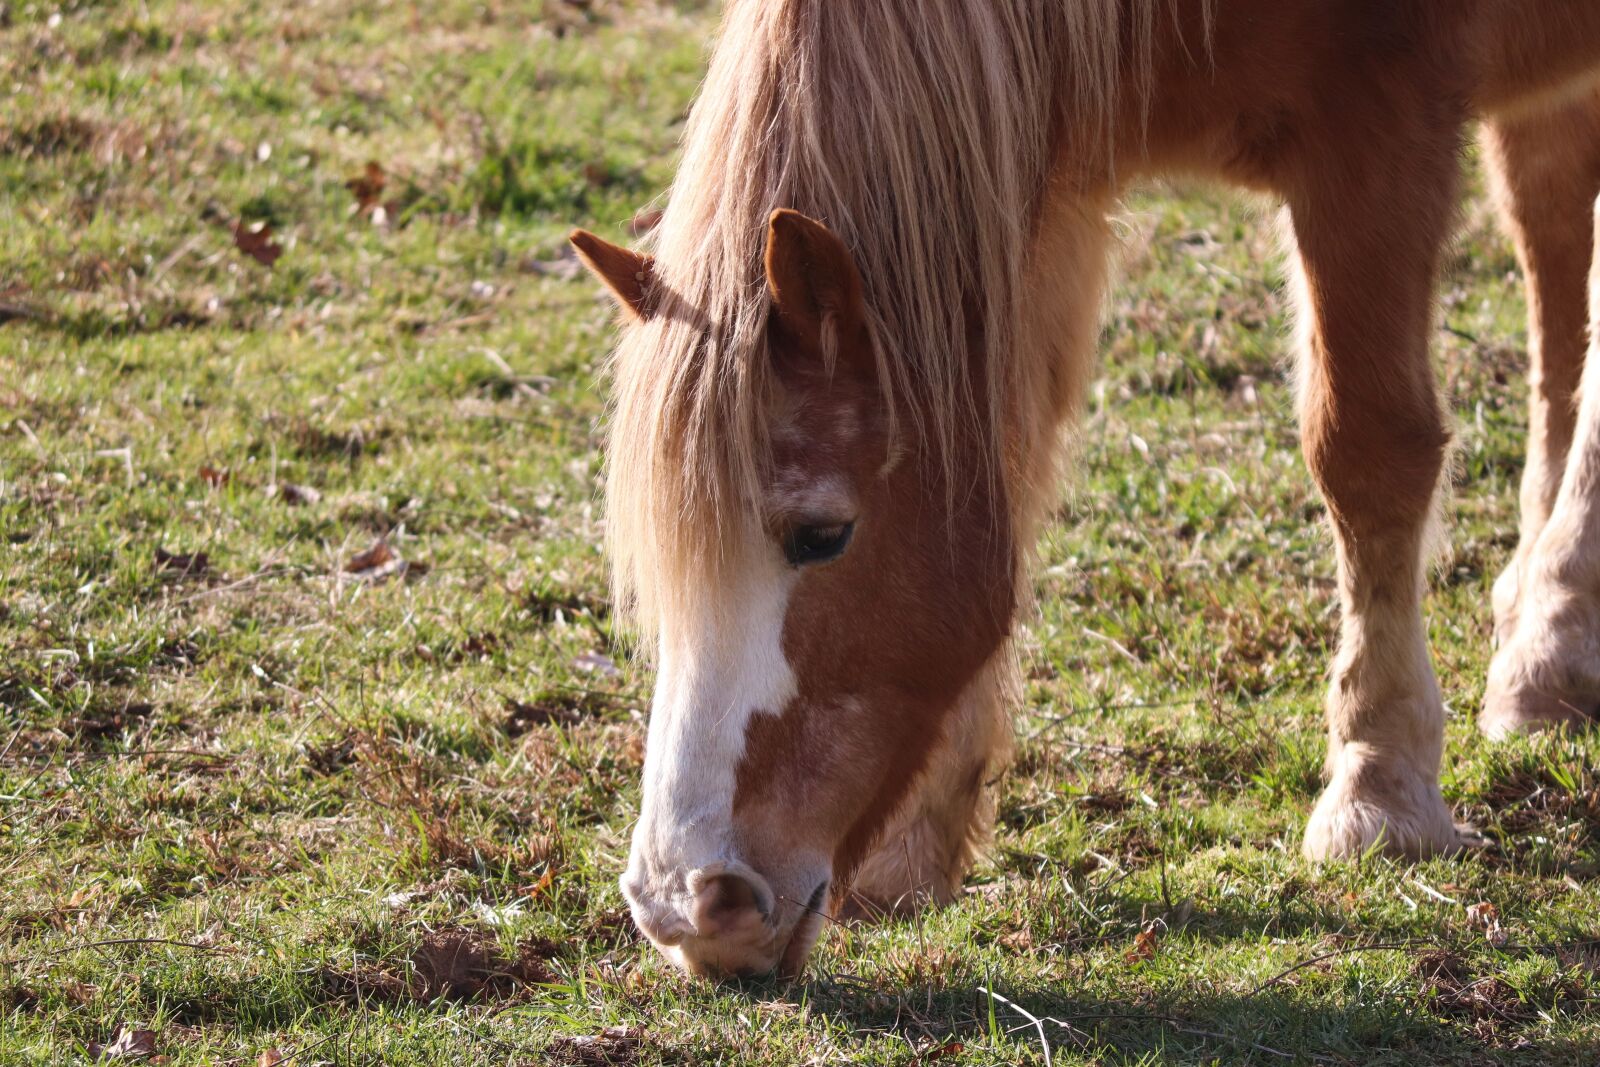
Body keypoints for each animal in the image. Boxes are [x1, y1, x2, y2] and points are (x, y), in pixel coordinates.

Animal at [569, 0, 1600, 979]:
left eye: (822, 534)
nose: (685, 907)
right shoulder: (1036, 190)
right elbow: (1011, 464)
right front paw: (921, 841)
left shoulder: (1377, 127)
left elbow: (1366, 451)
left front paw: (1379, 788)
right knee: (1553, 250)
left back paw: (1553, 641)